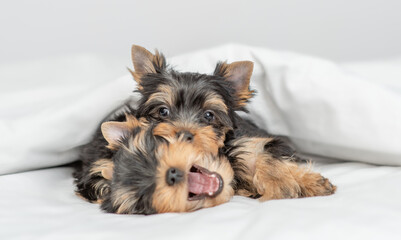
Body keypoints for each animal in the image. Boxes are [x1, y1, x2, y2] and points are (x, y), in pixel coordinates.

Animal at [74, 45, 334, 214]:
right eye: (163, 111)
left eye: (209, 115)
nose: (184, 133)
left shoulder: (247, 139)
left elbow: (264, 154)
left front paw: (295, 182)